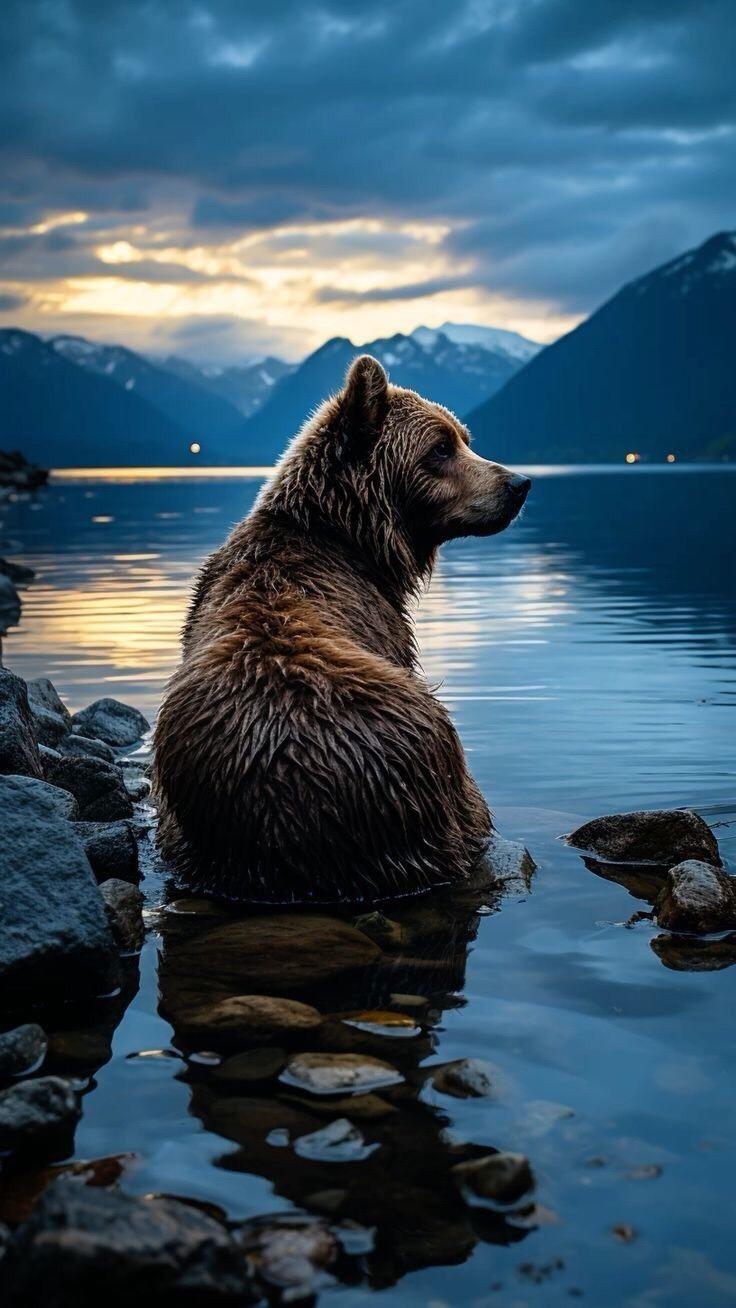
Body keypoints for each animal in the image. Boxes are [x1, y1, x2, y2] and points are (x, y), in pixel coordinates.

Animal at [153, 354, 531, 904]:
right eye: (440, 447)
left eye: (464, 437)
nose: (519, 483)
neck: (347, 537)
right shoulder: (387, 626)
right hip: (428, 762)